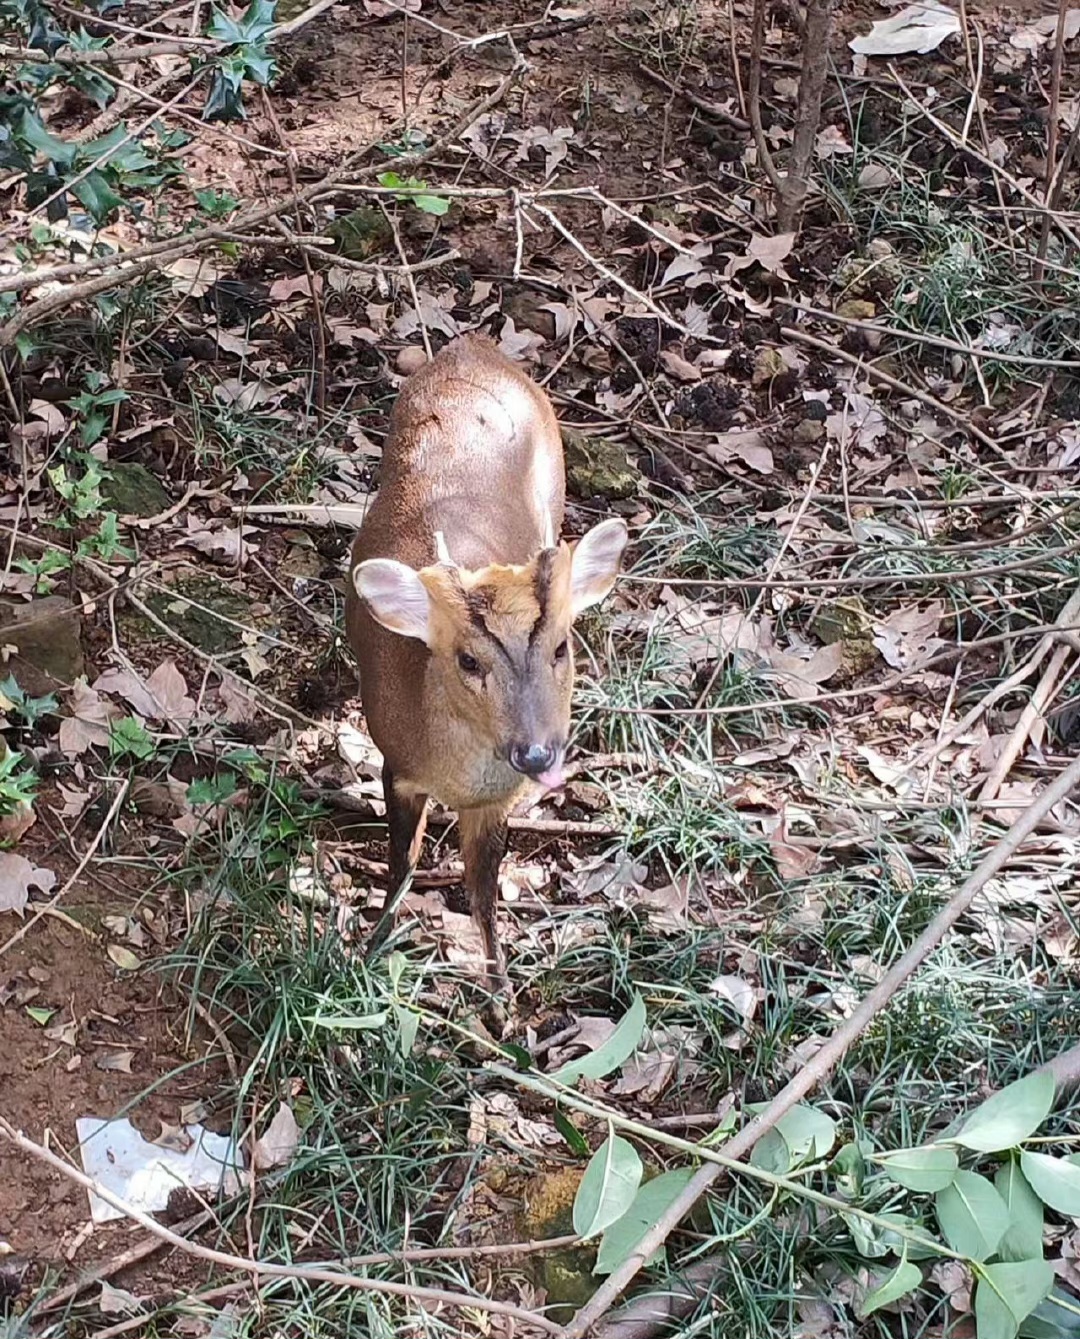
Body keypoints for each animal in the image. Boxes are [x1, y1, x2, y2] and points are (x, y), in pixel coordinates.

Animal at [345, 330, 628, 990]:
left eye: (561, 646)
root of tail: (470, 347)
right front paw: (369, 950)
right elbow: (402, 864)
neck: (458, 777)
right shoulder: (398, 765)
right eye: (468, 662)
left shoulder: (497, 803)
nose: (536, 753)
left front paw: (500, 993)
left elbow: (483, 896)